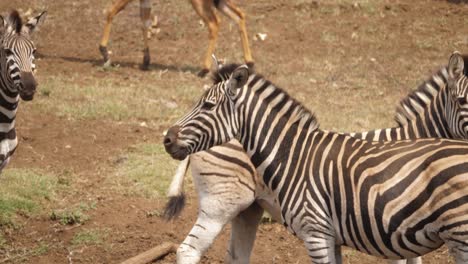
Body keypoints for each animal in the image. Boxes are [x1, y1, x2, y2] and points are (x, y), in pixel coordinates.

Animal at [98, 0, 252, 76]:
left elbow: (110, 12)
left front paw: (104, 52)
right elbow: (144, 22)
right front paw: (146, 61)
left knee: (214, 23)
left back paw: (204, 70)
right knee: (240, 16)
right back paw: (249, 62)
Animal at [163, 53, 466, 264]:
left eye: (208, 105)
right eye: (463, 100)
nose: (168, 138)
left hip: (247, 208)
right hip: (221, 203)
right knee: (189, 250)